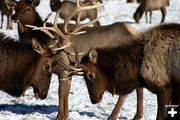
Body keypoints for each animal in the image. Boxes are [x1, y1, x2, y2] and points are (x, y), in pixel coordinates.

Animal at [12, 0, 141, 119]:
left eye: (28, 8)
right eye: (15, 8)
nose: (14, 17)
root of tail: (136, 33)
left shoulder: (64, 69)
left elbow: (61, 93)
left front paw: (60, 116)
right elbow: (66, 93)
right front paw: (66, 114)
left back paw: (113, 116)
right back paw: (137, 115)